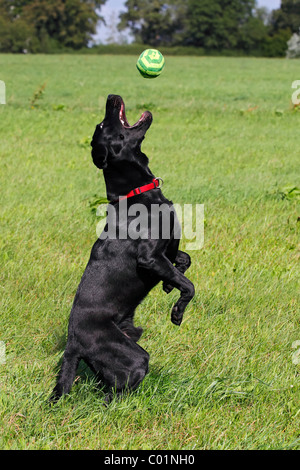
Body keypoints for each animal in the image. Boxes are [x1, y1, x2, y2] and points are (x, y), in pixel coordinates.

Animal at [51, 94, 195, 400]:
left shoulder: (166, 253)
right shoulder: (150, 258)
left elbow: (184, 261)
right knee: (115, 392)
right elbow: (189, 285)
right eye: (102, 124)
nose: (111, 97)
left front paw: (169, 285)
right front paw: (177, 312)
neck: (137, 192)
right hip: (132, 357)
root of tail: (72, 344)